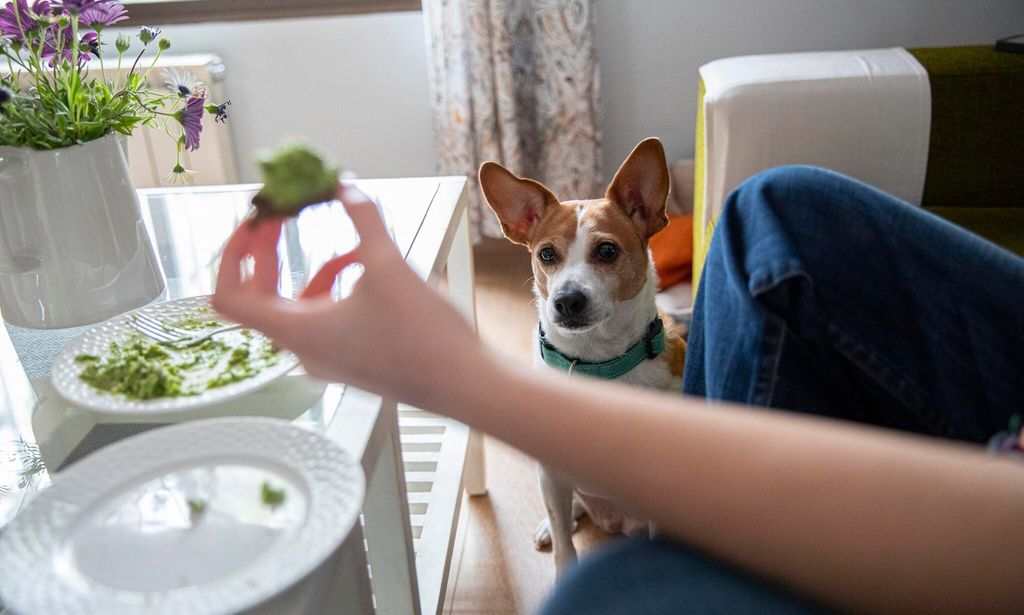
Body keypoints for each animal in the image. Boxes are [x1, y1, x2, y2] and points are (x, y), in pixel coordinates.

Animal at [475, 135, 684, 577]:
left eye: (606, 251)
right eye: (546, 255)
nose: (566, 300)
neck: (598, 363)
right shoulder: (553, 474)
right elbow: (565, 549)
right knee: (568, 512)